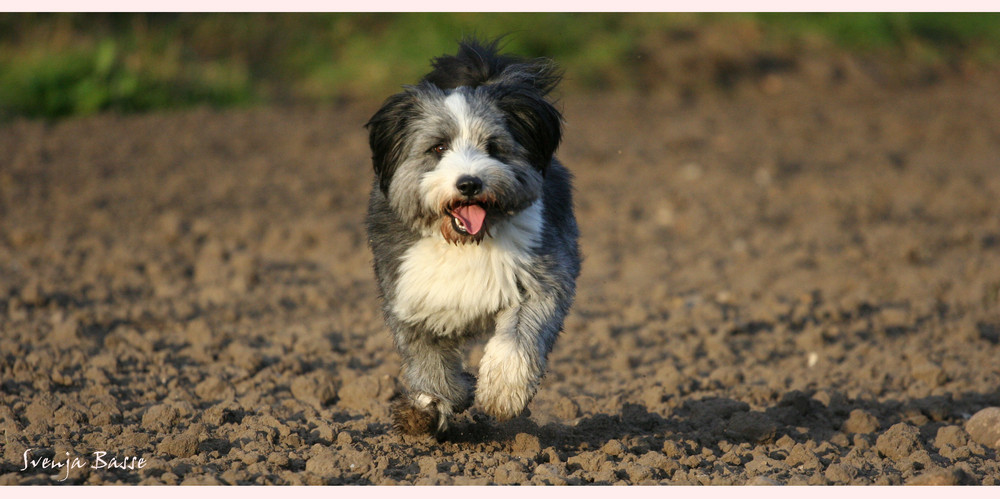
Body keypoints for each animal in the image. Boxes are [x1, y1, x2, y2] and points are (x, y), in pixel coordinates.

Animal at [368, 39, 580, 438]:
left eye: (493, 146)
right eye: (438, 147)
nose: (469, 183)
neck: (467, 243)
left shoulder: (540, 279)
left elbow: (518, 337)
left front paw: (502, 392)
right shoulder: (410, 299)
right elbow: (430, 365)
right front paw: (428, 408)